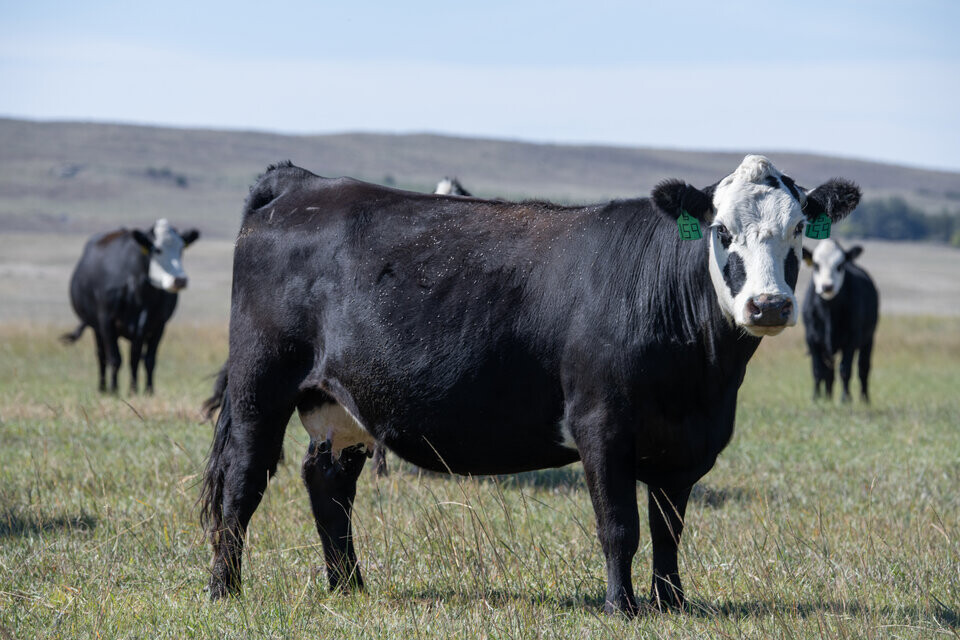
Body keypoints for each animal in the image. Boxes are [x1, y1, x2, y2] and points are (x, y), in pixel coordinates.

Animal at [62, 219, 199, 394]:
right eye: (157, 249)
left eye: (181, 248)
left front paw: (143, 390)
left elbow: (145, 359)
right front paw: (114, 390)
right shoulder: (106, 321)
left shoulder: (156, 325)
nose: (180, 280)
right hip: (96, 327)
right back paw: (102, 387)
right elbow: (115, 358)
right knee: (101, 355)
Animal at [199, 156, 860, 615]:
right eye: (721, 231)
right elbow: (620, 525)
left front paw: (673, 603)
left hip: (341, 405)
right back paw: (225, 589)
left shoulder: (687, 445)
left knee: (328, 482)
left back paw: (349, 586)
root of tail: (303, 184)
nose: (768, 305)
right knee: (242, 481)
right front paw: (622, 608)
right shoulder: (601, 427)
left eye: (798, 230)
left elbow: (668, 529)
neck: (699, 382)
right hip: (261, 387)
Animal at [801, 240, 878, 402]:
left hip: (869, 339)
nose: (827, 286)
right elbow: (818, 370)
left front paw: (845, 398)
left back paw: (864, 399)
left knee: (863, 368)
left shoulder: (851, 341)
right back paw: (828, 397)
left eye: (840, 265)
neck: (829, 310)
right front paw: (816, 398)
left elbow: (845, 369)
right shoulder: (812, 339)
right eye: (816, 265)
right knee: (829, 372)